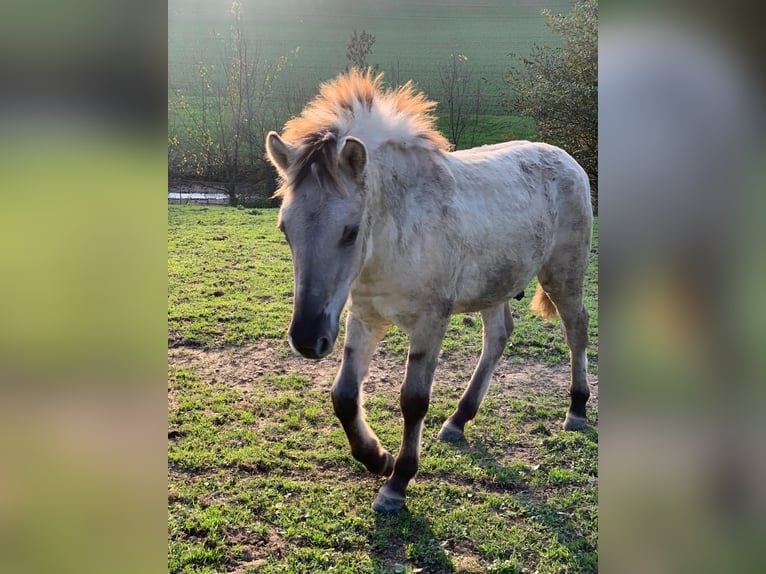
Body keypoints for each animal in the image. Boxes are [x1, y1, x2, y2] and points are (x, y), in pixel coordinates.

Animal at [268, 70, 596, 516]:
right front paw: (377, 458)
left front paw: (397, 483)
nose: (306, 339)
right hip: (495, 285)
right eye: (286, 229)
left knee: (576, 328)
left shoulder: (430, 322)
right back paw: (458, 420)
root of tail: (569, 160)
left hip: (564, 274)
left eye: (350, 231)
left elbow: (413, 400)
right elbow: (344, 395)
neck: (397, 231)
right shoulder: (364, 316)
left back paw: (576, 409)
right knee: (498, 337)